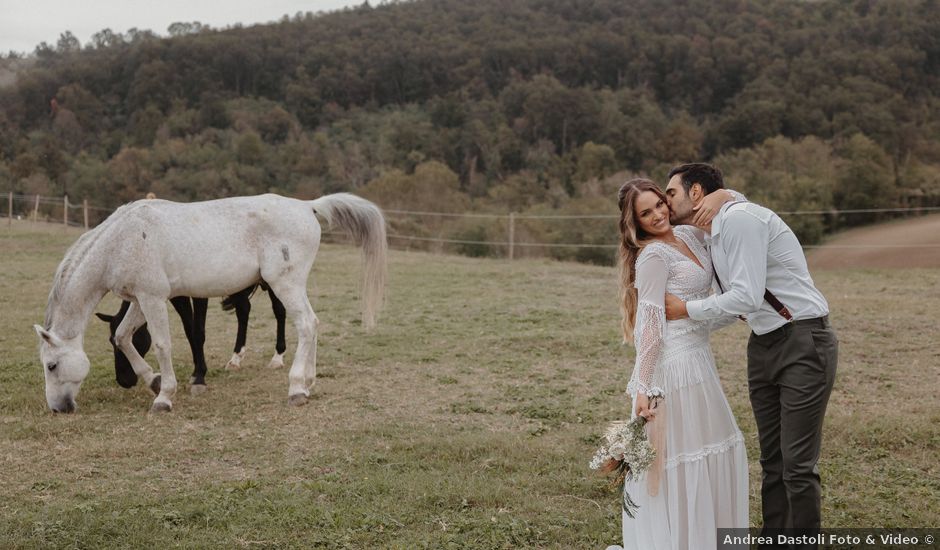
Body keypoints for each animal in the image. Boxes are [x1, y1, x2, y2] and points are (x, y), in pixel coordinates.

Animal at [96, 282, 288, 394]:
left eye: (134, 338)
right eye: (110, 341)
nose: (123, 380)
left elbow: (198, 332)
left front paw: (200, 377)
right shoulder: (178, 295)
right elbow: (189, 330)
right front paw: (197, 371)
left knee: (279, 310)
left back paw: (278, 357)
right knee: (243, 309)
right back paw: (236, 358)